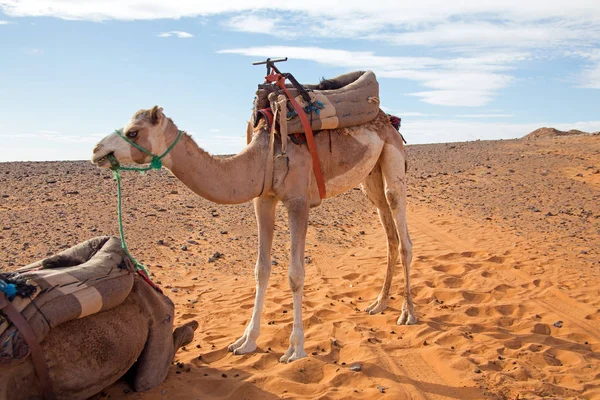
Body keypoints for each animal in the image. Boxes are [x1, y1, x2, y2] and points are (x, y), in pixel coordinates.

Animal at [91, 105, 414, 362]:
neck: (260, 158)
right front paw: (246, 341)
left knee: (402, 232)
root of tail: (389, 120)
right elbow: (261, 269)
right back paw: (379, 303)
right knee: (390, 234)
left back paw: (407, 313)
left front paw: (295, 349)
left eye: (133, 132)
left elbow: (296, 274)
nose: (96, 151)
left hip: (392, 157)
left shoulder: (298, 201)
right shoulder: (263, 199)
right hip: (369, 178)